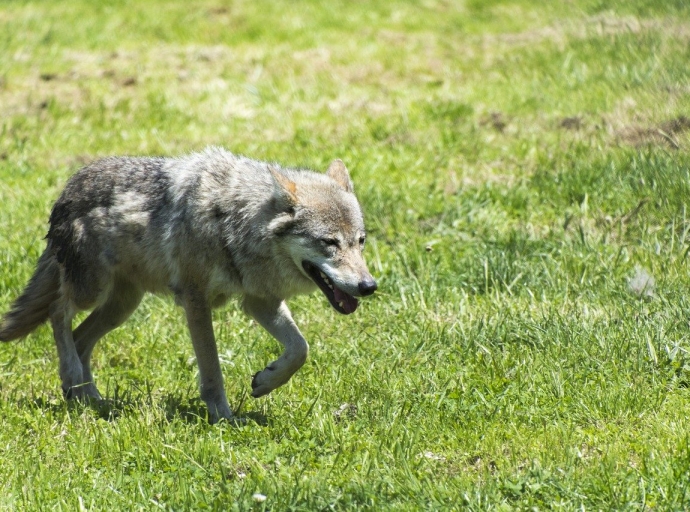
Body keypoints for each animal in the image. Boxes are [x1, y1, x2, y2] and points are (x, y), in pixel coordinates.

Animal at [0, 146, 376, 422]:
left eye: (360, 242)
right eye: (329, 243)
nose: (369, 286)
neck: (236, 222)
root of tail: (67, 189)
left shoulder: (260, 301)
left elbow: (300, 349)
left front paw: (266, 382)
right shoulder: (196, 301)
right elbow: (212, 369)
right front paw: (224, 418)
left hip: (122, 307)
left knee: (80, 336)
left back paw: (89, 397)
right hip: (91, 291)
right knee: (57, 312)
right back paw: (72, 379)